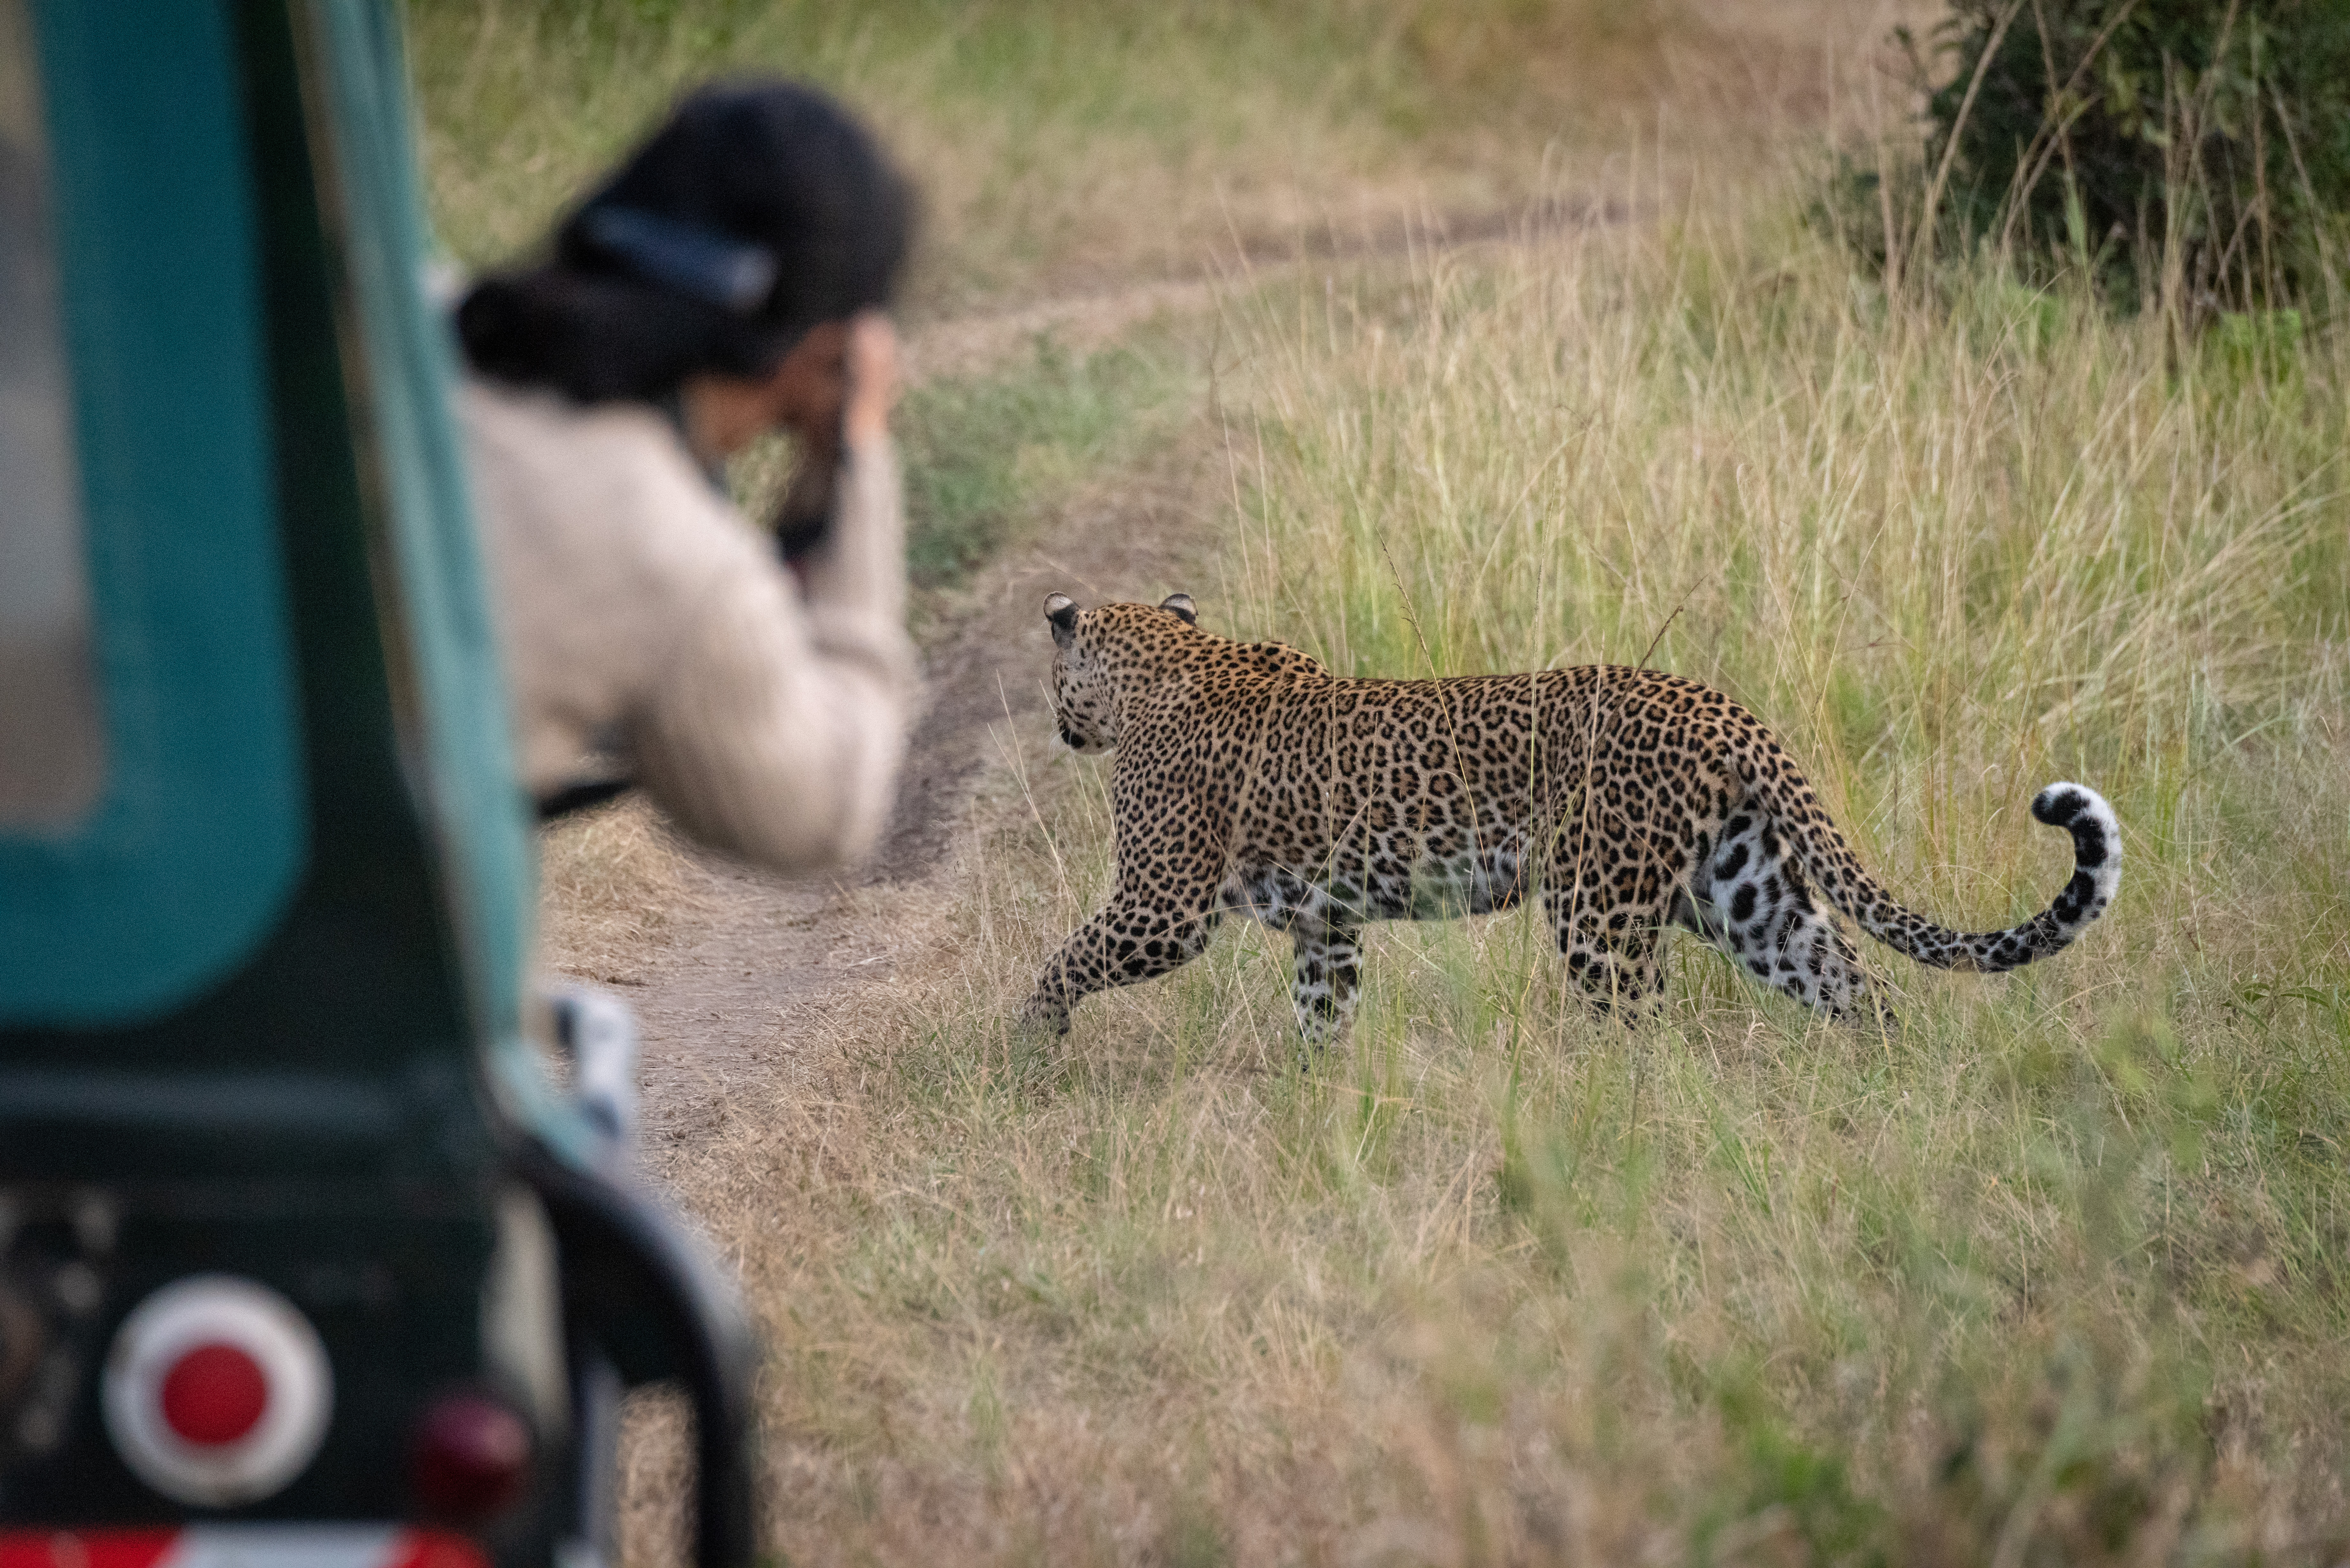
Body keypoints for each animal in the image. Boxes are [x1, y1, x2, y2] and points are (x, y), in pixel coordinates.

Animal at [1020, 595, 2124, 1048]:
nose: (1057, 722)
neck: (1163, 661)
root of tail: (1719, 706)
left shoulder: (1166, 905)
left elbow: (1065, 957)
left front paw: (1027, 1042)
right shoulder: (1327, 925)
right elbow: (1321, 1012)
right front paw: (1315, 1100)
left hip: (1598, 907)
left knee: (1639, 1031)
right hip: (1748, 897)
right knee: (1858, 988)